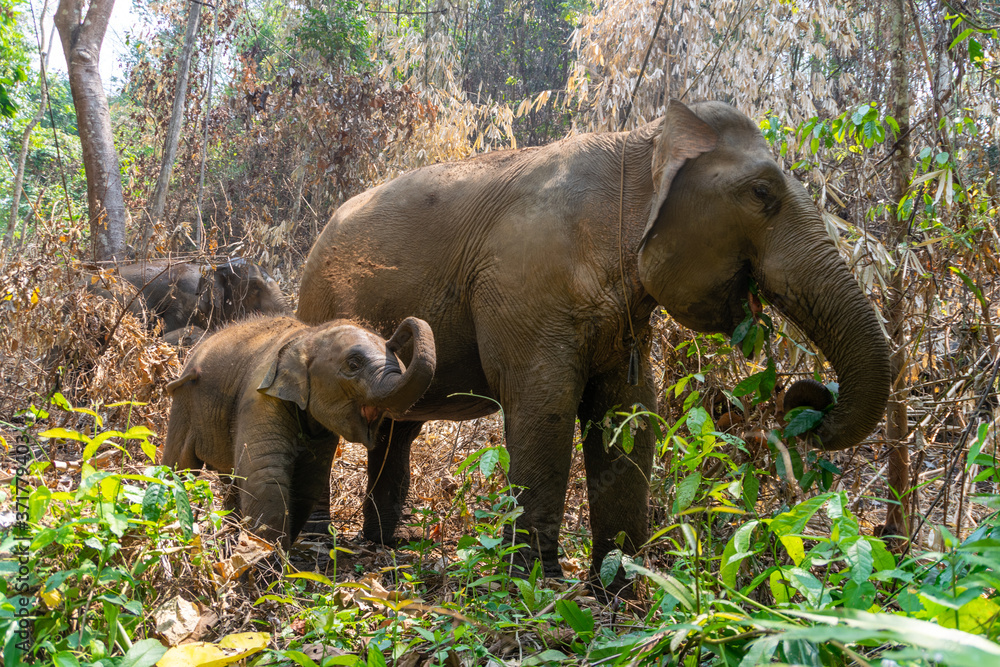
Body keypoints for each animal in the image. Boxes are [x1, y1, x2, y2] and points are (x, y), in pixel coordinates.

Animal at [161, 315, 436, 548]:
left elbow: (308, 483)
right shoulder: (259, 398)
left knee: (229, 476)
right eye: (353, 364)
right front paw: (266, 563)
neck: (307, 337)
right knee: (178, 467)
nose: (399, 334)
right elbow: (266, 475)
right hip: (183, 402)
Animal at [295, 99, 891, 588]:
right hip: (320, 307)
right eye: (763, 194)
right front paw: (536, 585)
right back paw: (318, 549)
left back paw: (383, 548)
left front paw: (618, 587)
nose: (805, 399)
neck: (642, 141)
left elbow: (629, 412)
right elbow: (545, 406)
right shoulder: (524, 287)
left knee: (398, 428)